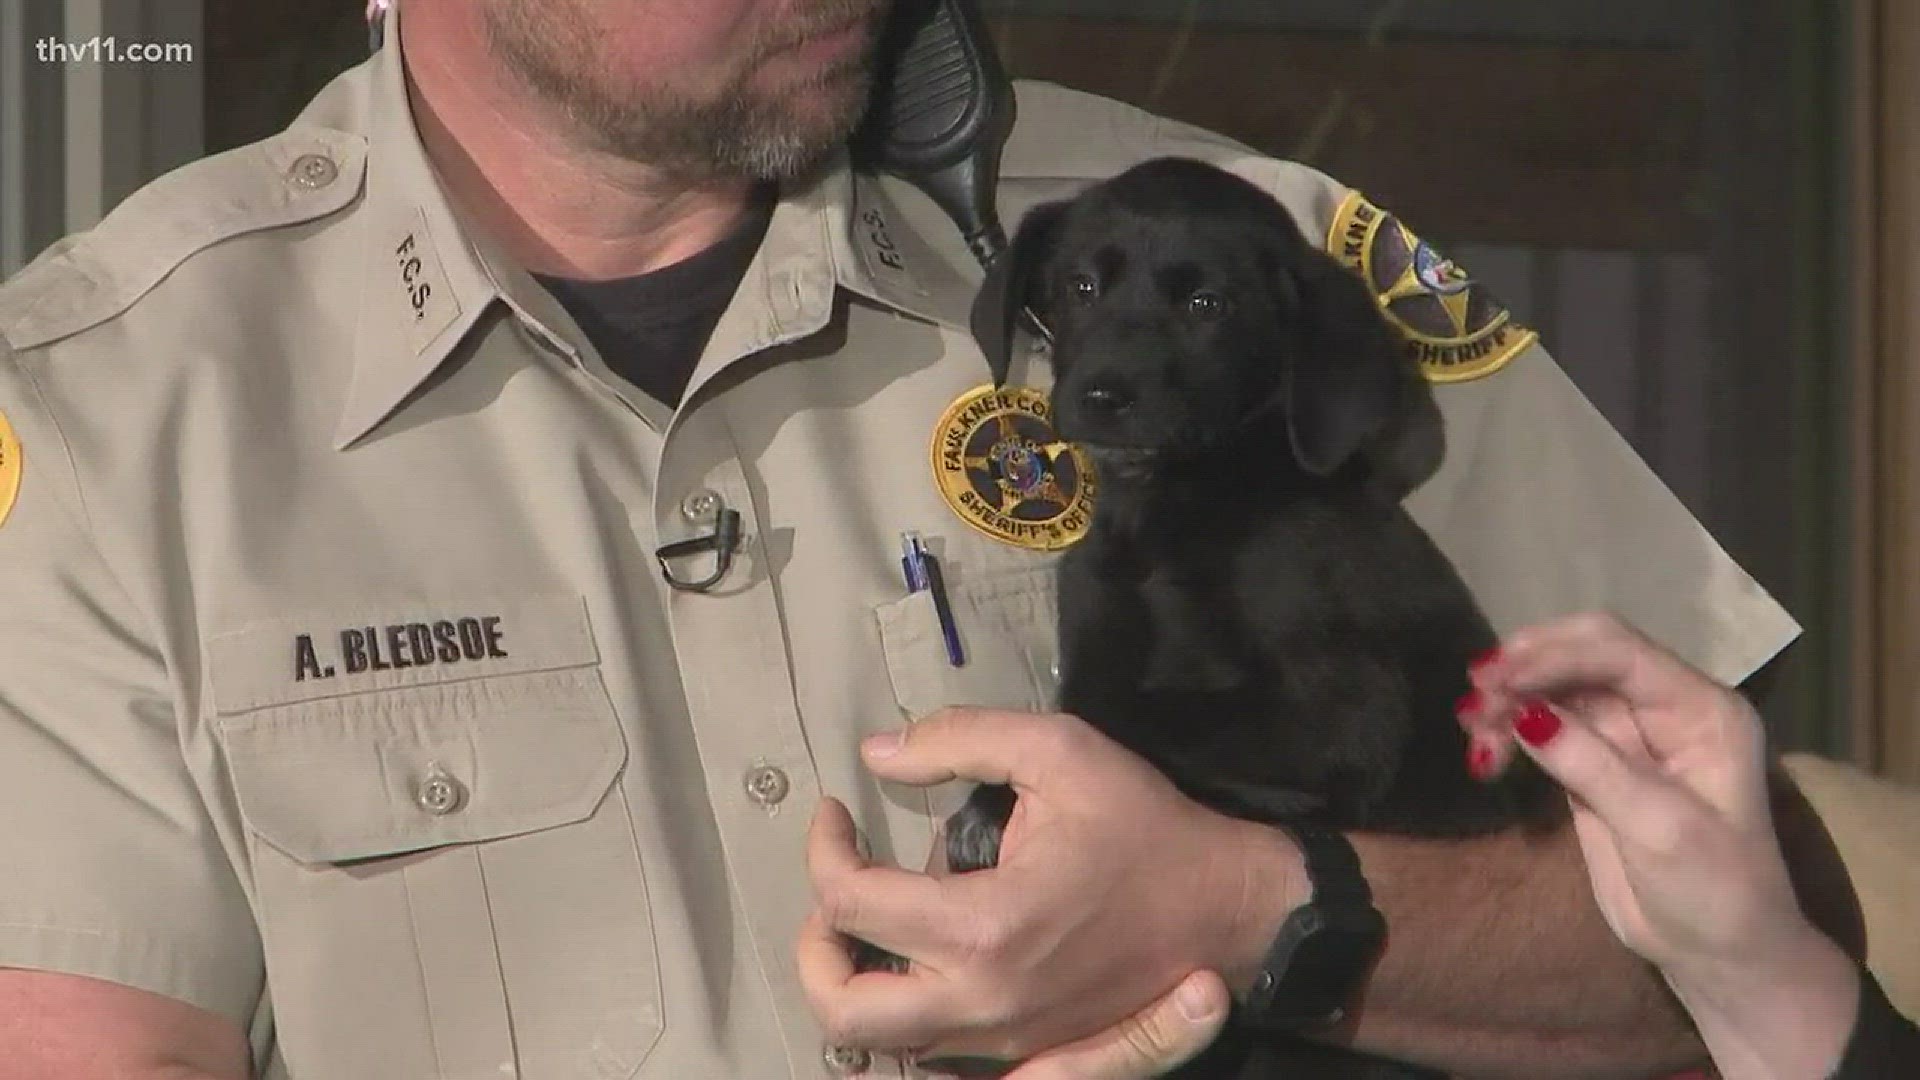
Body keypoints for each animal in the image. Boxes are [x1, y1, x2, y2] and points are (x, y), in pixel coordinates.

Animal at [944, 159, 1559, 1076]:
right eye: (1081, 287)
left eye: (1209, 305)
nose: (1100, 395)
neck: (1174, 516)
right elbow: (1100, 706)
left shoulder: (1337, 716)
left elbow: (1126, 723)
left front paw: (991, 803)